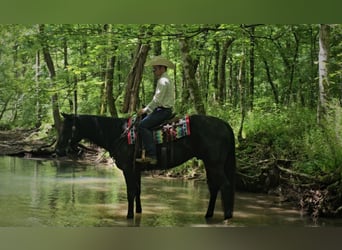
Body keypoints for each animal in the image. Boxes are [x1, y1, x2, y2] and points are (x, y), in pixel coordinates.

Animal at [56, 113, 236, 221]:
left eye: (66, 129)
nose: (57, 150)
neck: (118, 134)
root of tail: (225, 124)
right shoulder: (136, 170)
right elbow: (138, 191)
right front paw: (138, 212)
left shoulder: (128, 169)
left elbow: (130, 192)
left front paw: (129, 216)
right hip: (209, 164)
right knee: (214, 187)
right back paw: (208, 214)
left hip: (215, 164)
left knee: (226, 186)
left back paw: (227, 217)